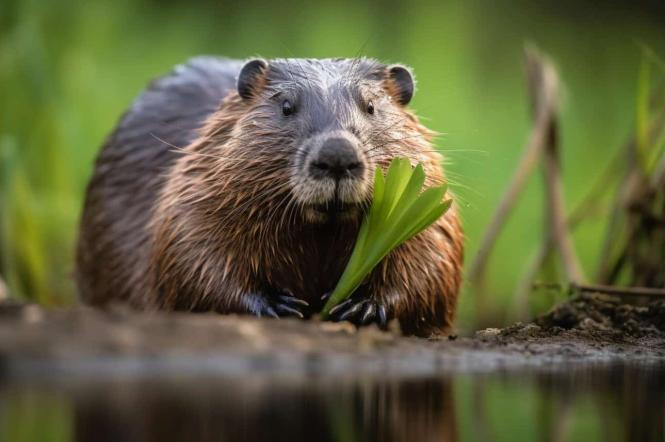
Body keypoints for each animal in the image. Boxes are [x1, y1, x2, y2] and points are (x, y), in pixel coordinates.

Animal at [76, 57, 462, 336]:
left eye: (370, 106)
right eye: (287, 106)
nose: (337, 155)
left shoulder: (430, 204)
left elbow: (432, 258)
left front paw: (359, 307)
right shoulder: (196, 183)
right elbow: (192, 252)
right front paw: (279, 306)